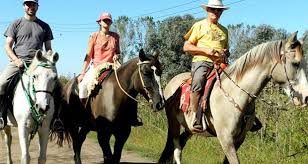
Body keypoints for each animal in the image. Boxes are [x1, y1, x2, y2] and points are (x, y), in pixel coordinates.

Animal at [159, 32, 308, 164]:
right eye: (295, 63)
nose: (306, 97)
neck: (236, 94)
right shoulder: (226, 140)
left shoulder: (239, 139)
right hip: (173, 123)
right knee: (174, 149)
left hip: (189, 128)